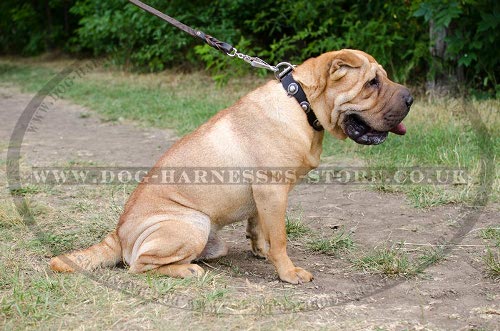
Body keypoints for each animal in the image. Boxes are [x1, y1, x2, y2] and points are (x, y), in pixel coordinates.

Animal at [49, 49, 414, 286]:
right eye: (372, 83)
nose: (410, 97)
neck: (302, 104)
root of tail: (117, 234)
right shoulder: (272, 190)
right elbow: (280, 237)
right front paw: (288, 273)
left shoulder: (263, 196)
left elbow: (260, 228)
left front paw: (261, 251)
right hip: (192, 223)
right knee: (138, 265)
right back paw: (186, 271)